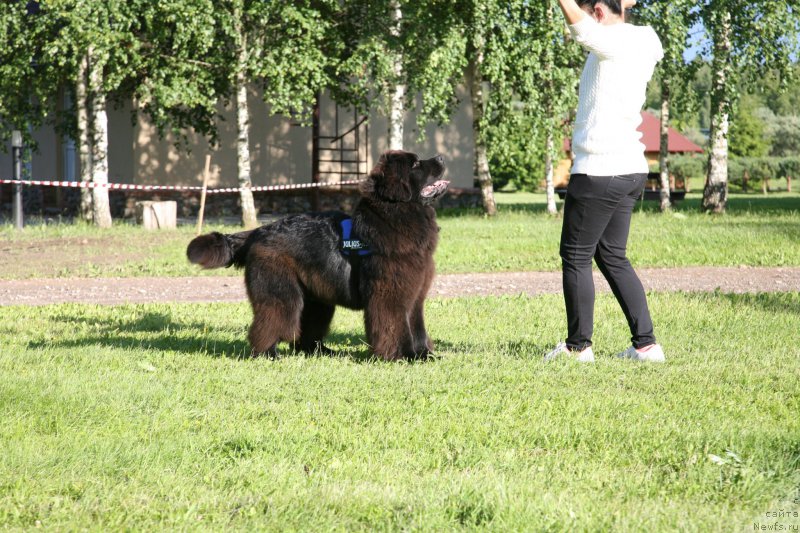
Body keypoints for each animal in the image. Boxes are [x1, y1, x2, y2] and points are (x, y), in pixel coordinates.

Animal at [188, 152, 450, 360]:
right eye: (415, 164)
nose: (441, 157)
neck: (397, 212)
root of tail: (259, 231)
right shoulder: (390, 294)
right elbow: (395, 325)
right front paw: (402, 356)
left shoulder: (415, 294)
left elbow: (417, 327)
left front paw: (424, 354)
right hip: (281, 293)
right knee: (271, 321)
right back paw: (267, 353)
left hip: (317, 298)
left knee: (307, 330)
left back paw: (320, 351)